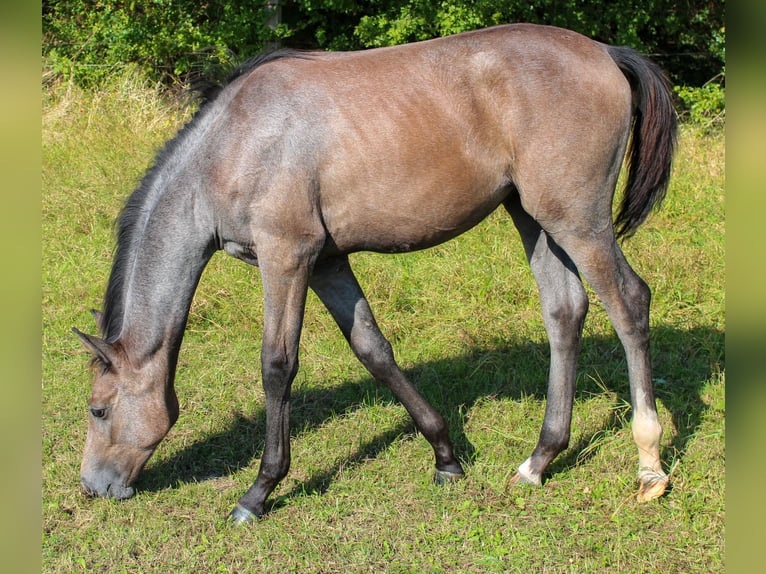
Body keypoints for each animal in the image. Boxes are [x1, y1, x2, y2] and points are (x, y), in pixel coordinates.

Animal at [73, 23, 680, 528]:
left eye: (98, 409)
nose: (93, 487)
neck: (234, 142)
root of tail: (604, 52)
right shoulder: (326, 263)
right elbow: (373, 349)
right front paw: (445, 455)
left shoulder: (286, 256)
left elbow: (277, 366)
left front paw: (259, 491)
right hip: (533, 216)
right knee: (564, 312)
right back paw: (540, 458)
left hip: (578, 221)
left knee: (630, 302)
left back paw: (649, 464)